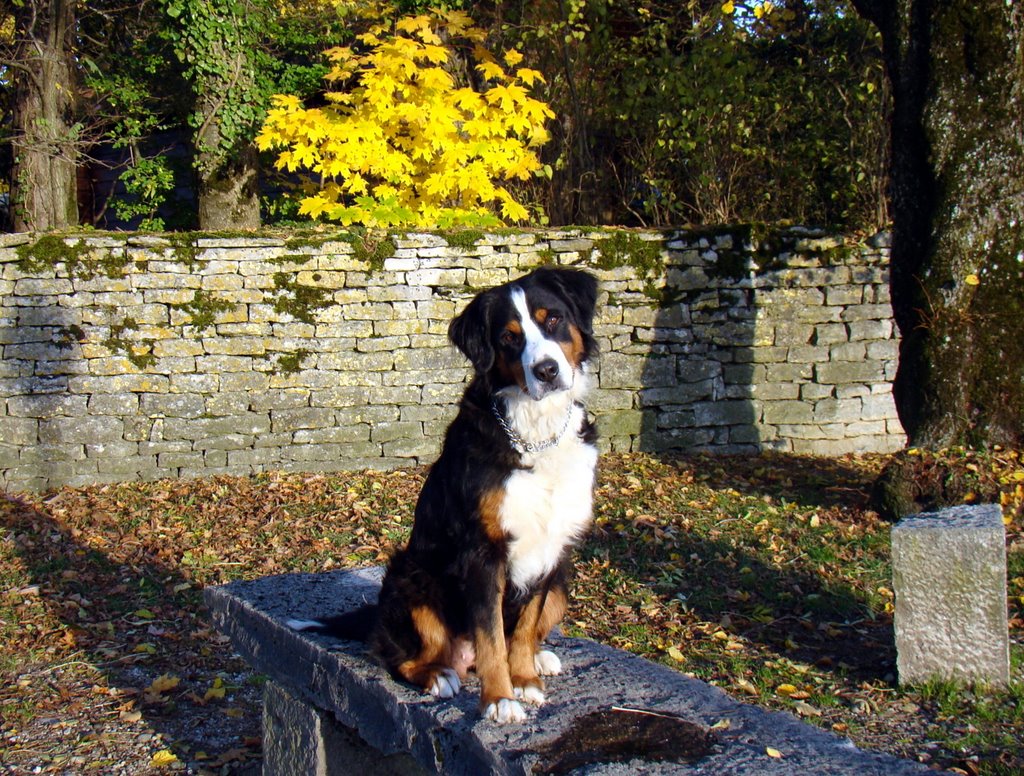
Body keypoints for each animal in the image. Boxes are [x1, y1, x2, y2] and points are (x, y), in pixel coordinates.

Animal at [288, 268, 598, 728]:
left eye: (554, 319)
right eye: (509, 338)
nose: (546, 370)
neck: (535, 434)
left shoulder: (552, 548)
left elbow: (523, 629)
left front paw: (524, 678)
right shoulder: (482, 552)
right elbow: (491, 637)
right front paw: (499, 699)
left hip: (561, 583)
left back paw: (539, 659)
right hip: (411, 577)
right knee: (400, 656)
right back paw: (439, 676)